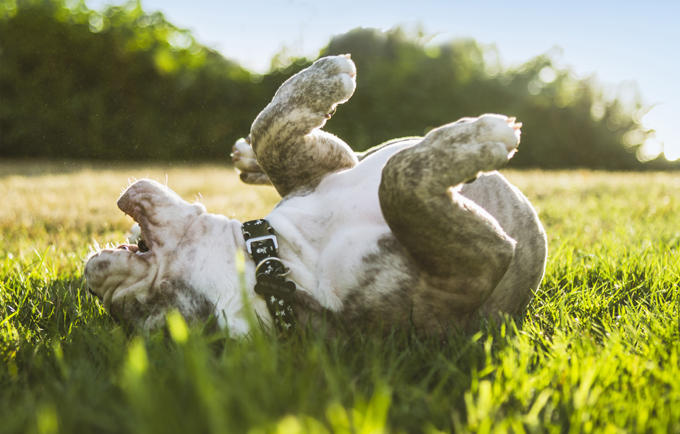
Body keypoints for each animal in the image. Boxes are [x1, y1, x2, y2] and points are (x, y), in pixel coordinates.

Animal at [83, 54, 548, 338]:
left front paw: (320, 78)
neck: (276, 261)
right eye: (134, 308)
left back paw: (248, 159)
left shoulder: (319, 169)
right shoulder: (467, 271)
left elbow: (269, 128)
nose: (91, 277)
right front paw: (480, 140)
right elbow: (398, 183)